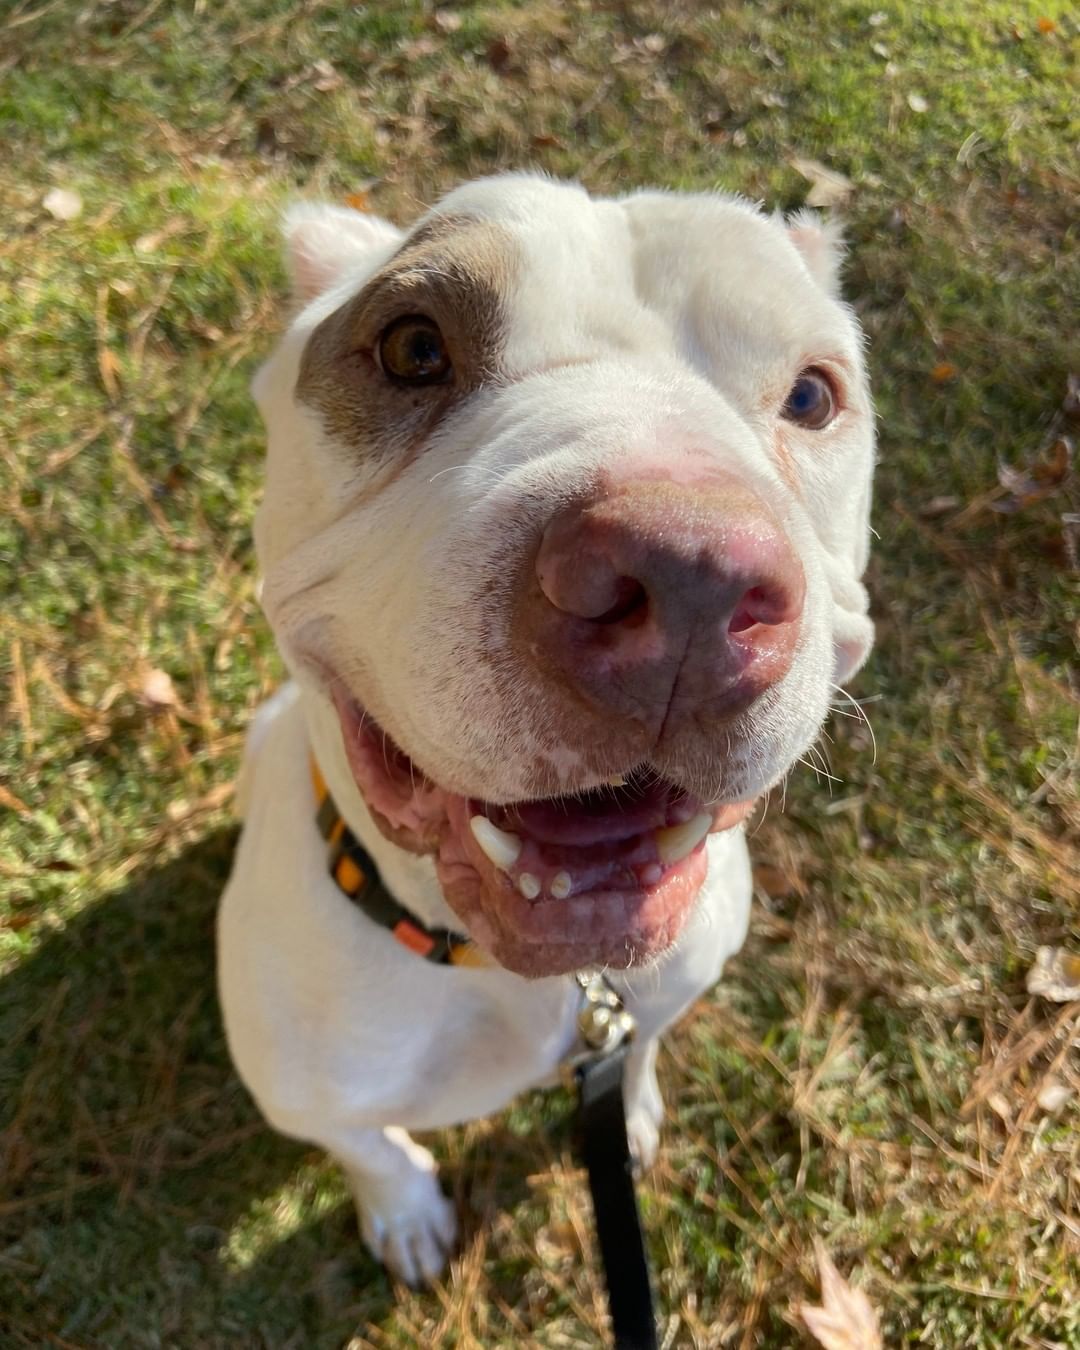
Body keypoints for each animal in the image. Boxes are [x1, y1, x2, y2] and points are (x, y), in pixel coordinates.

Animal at [218, 171, 874, 1285]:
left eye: (812, 395)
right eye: (412, 347)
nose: (689, 574)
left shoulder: (658, 994)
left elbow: (643, 1042)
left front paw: (635, 1112)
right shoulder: (300, 1094)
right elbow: (368, 1145)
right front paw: (404, 1211)